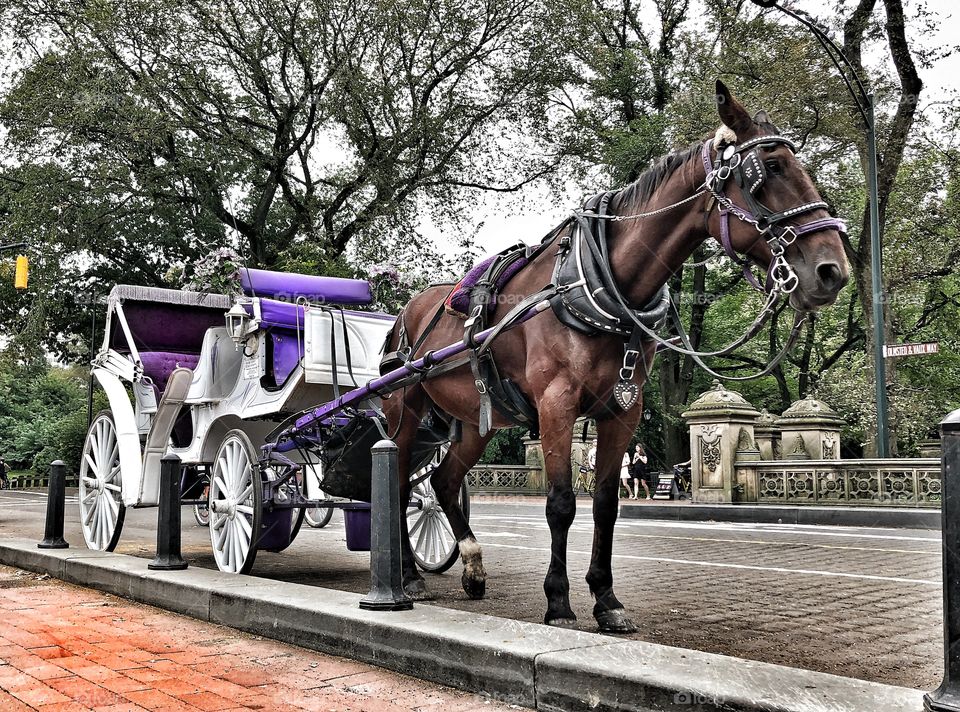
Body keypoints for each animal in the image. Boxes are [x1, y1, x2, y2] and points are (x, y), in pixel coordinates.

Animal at [381, 81, 849, 633]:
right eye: (771, 168)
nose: (833, 269)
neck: (598, 286)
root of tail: (405, 312)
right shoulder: (556, 404)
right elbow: (561, 503)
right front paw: (558, 600)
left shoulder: (624, 408)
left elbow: (605, 504)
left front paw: (606, 599)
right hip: (404, 410)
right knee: (397, 481)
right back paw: (407, 576)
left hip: (478, 420)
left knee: (442, 480)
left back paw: (473, 568)